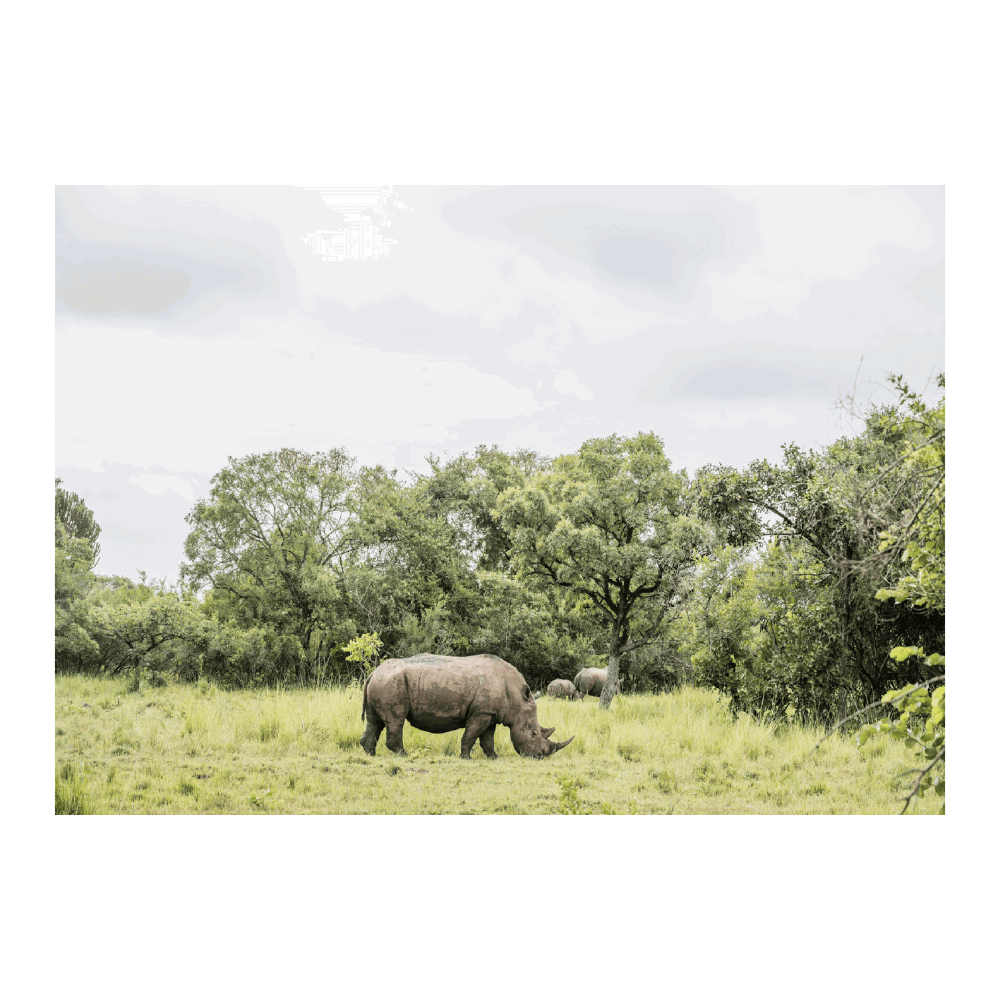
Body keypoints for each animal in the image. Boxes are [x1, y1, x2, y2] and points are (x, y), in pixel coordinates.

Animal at [360, 653, 574, 760]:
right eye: (534, 734)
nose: (540, 757)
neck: (515, 697)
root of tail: (374, 672)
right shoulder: (481, 713)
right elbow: (471, 736)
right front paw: (466, 758)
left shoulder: (490, 714)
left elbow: (487, 739)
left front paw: (494, 758)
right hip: (391, 683)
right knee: (395, 720)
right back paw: (404, 756)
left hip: (383, 681)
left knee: (375, 721)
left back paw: (370, 755)